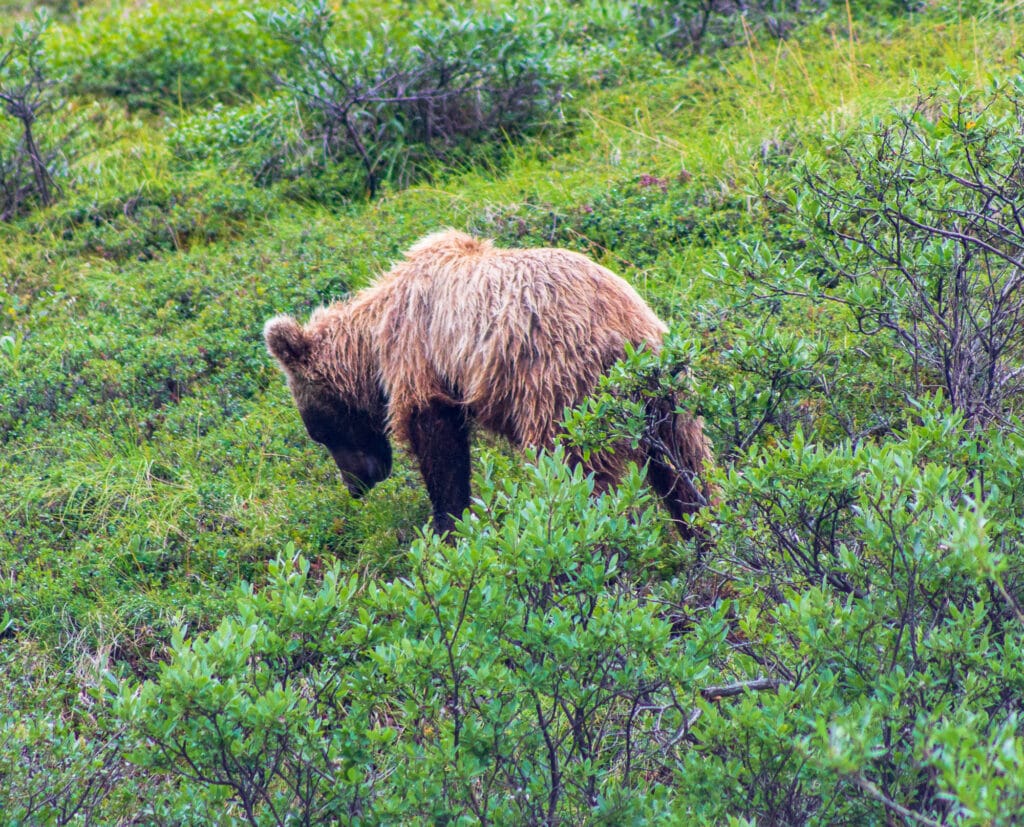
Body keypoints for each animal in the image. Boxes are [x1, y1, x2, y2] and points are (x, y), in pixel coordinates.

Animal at [264, 232, 712, 540]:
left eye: (319, 431)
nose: (357, 485)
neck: (373, 341)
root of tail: (626, 334)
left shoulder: (422, 361)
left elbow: (441, 451)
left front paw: (447, 528)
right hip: (666, 393)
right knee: (686, 466)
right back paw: (702, 532)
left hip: (566, 389)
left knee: (576, 470)